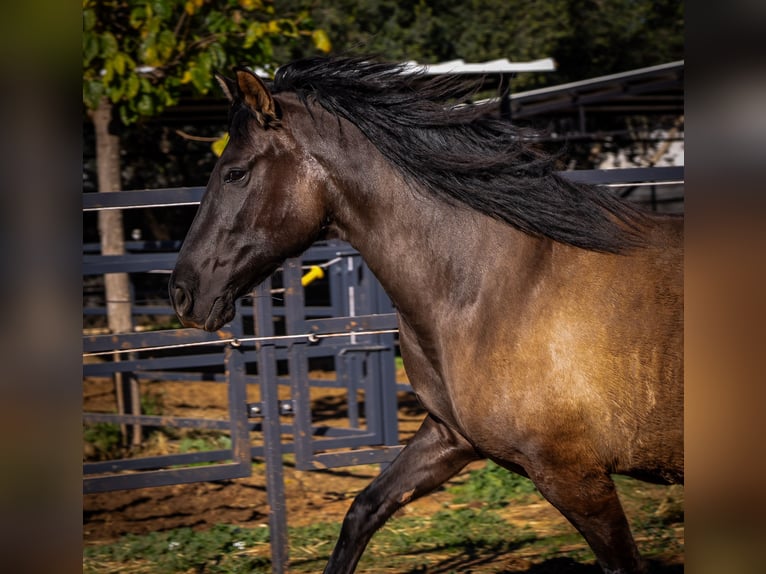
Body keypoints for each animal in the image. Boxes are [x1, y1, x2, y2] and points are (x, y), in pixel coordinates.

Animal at [168, 55, 684, 574]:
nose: (182, 293)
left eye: (235, 173)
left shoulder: (575, 478)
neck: (493, 290)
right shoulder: (448, 436)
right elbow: (363, 510)